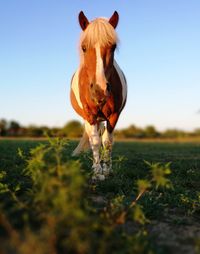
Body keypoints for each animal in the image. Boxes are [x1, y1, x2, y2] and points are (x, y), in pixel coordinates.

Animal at [70, 10, 126, 180]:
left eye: (113, 46)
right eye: (83, 47)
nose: (99, 90)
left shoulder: (114, 115)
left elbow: (107, 141)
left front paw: (107, 169)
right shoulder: (90, 115)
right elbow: (94, 141)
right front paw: (97, 171)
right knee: (91, 136)